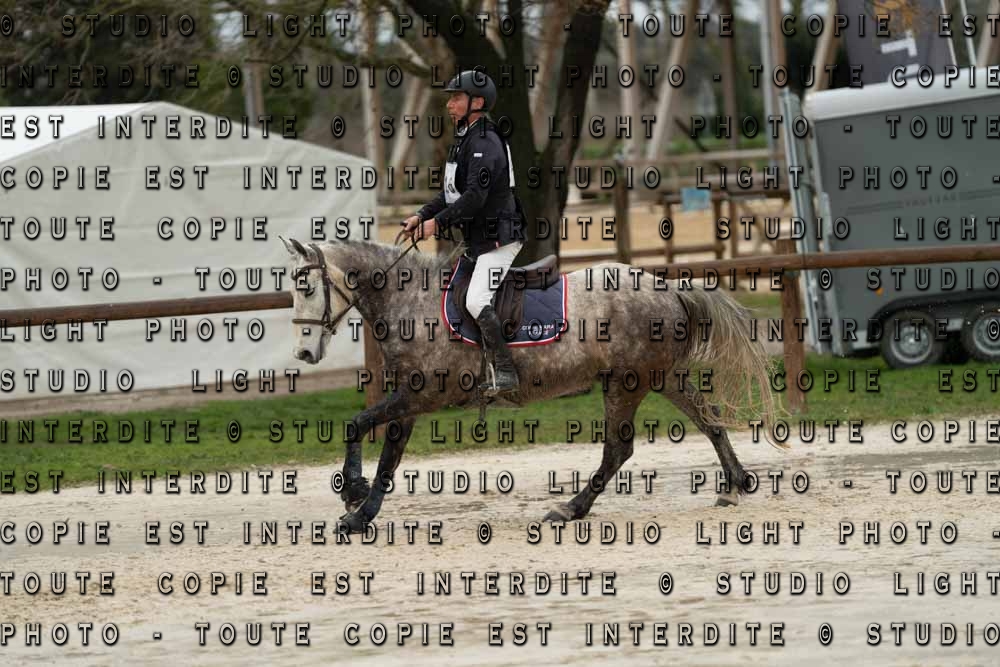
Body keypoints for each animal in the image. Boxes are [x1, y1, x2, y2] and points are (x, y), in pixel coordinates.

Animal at [278, 235, 786, 533]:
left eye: (307, 286)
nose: (303, 355)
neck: (411, 301)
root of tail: (667, 286)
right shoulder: (410, 399)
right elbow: (385, 452)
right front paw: (359, 506)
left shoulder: (420, 395)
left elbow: (361, 427)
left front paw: (353, 500)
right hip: (662, 378)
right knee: (709, 420)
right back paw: (735, 484)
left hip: (625, 384)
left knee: (618, 450)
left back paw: (570, 509)